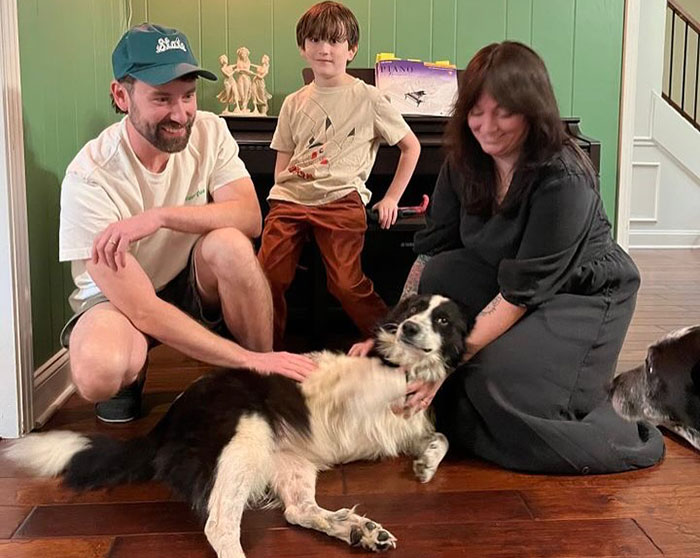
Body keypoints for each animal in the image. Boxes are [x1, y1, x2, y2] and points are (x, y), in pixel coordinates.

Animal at [4, 296, 470, 556]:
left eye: (443, 320)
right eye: (413, 311)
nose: (409, 328)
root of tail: (169, 419)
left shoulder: (408, 424)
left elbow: (441, 436)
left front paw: (427, 464)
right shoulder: (358, 383)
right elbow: (392, 376)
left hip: (290, 463)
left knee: (299, 511)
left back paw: (357, 531)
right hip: (243, 443)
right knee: (220, 526)